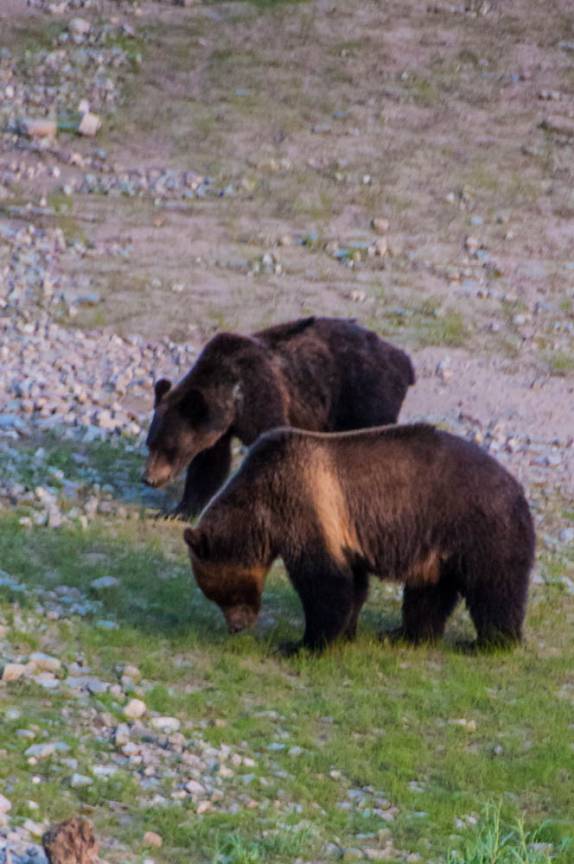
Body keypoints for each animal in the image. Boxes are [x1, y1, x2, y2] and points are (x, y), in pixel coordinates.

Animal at [142, 317, 415, 517]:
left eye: (169, 447)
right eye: (151, 443)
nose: (149, 479)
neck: (233, 398)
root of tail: (403, 359)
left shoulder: (262, 395)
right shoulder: (218, 429)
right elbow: (209, 464)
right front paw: (180, 510)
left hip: (364, 394)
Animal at [183, 424, 535, 653]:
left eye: (222, 594)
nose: (236, 627)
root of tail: (517, 488)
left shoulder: (304, 504)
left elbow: (324, 582)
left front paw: (302, 644)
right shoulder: (342, 532)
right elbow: (352, 585)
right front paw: (345, 633)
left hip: (479, 527)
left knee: (494, 587)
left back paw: (488, 642)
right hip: (437, 547)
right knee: (429, 592)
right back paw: (403, 634)